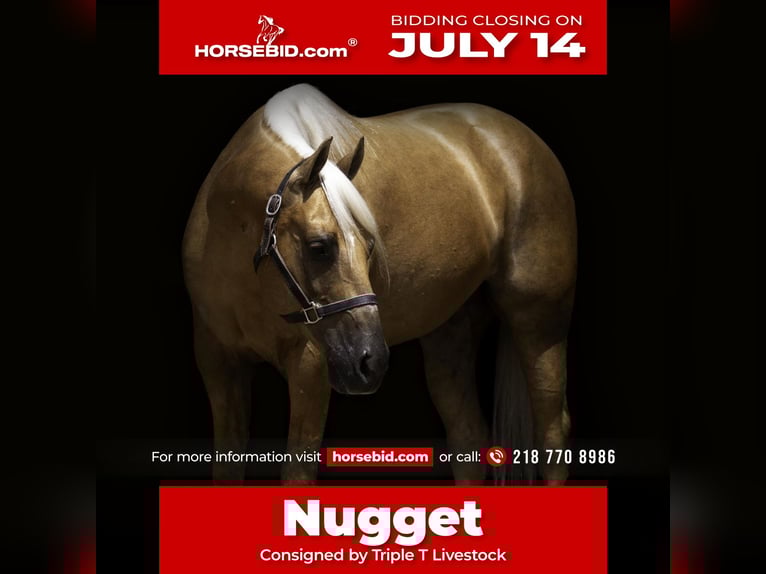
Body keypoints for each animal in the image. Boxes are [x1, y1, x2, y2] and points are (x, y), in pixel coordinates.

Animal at [182, 84, 576, 483]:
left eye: (370, 246)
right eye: (319, 246)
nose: (371, 362)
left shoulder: (310, 367)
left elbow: (297, 473)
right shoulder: (219, 365)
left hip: (539, 324)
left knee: (552, 434)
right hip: (450, 333)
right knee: (468, 439)